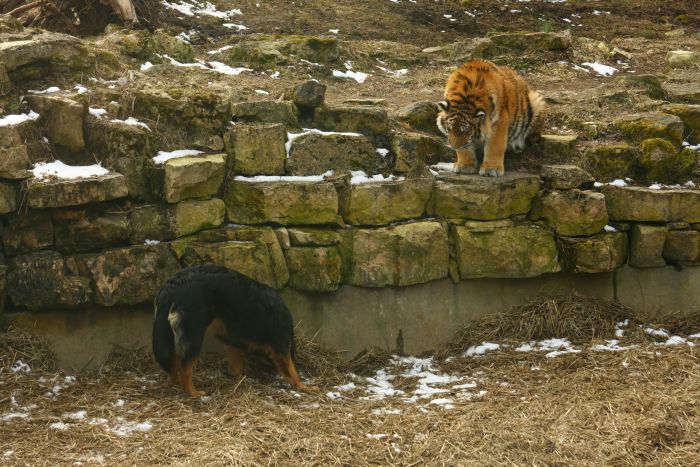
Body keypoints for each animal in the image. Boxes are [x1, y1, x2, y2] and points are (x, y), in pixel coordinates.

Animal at [153, 266, 308, 396]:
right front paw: (301, 386)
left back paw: (169, 385)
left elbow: (237, 366)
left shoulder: (232, 342)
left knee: (173, 362)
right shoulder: (281, 344)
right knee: (185, 369)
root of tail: (173, 284)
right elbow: (292, 369)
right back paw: (193, 393)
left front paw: (238, 381)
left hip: (172, 336)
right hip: (194, 336)